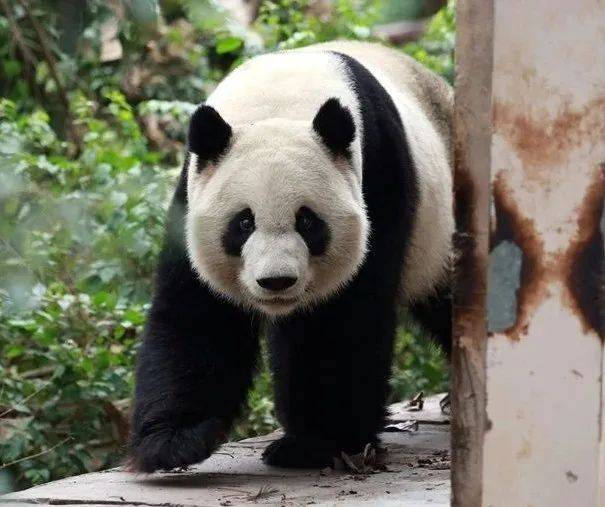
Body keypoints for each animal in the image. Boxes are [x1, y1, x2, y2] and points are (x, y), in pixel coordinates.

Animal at [132, 39, 452, 472]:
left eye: (307, 221)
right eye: (243, 222)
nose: (277, 281)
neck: (279, 101)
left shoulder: (379, 179)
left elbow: (341, 320)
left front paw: (318, 442)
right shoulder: (191, 190)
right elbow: (197, 311)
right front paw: (175, 440)